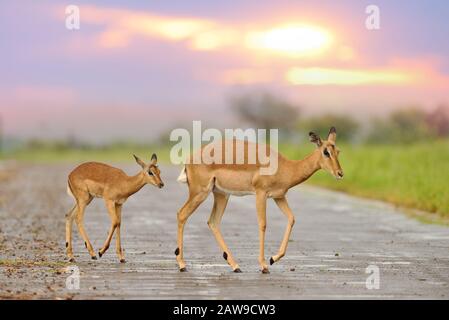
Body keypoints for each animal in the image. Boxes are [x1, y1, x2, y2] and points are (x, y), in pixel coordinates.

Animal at [175, 126, 344, 274]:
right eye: (326, 152)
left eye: (337, 151)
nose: (340, 173)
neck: (287, 167)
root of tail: (189, 159)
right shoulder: (261, 193)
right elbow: (263, 224)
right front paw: (264, 265)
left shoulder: (279, 196)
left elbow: (291, 218)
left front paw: (273, 259)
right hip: (200, 193)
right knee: (182, 214)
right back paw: (182, 265)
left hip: (221, 195)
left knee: (213, 222)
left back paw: (236, 266)